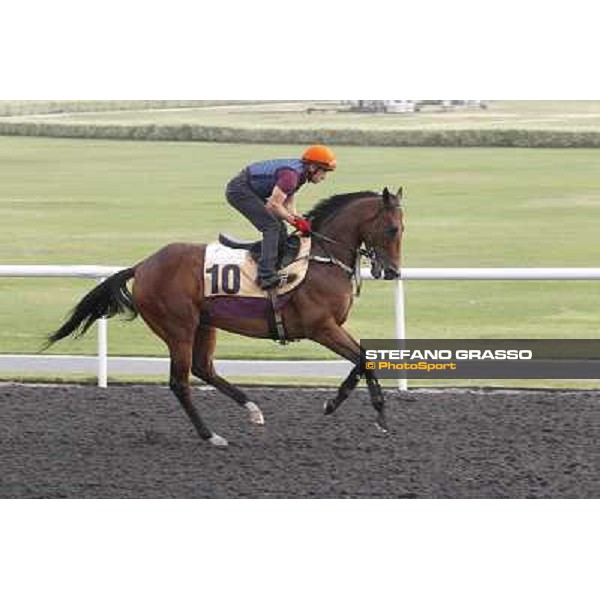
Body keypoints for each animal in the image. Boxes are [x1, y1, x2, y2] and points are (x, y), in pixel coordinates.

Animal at [45, 188, 404, 446]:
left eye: (402, 229)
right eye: (391, 228)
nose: (393, 272)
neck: (320, 260)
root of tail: (143, 266)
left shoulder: (333, 327)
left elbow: (363, 359)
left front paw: (336, 403)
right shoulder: (321, 327)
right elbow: (364, 359)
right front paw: (379, 415)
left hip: (204, 323)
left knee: (203, 368)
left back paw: (252, 410)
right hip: (178, 327)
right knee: (180, 382)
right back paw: (211, 435)